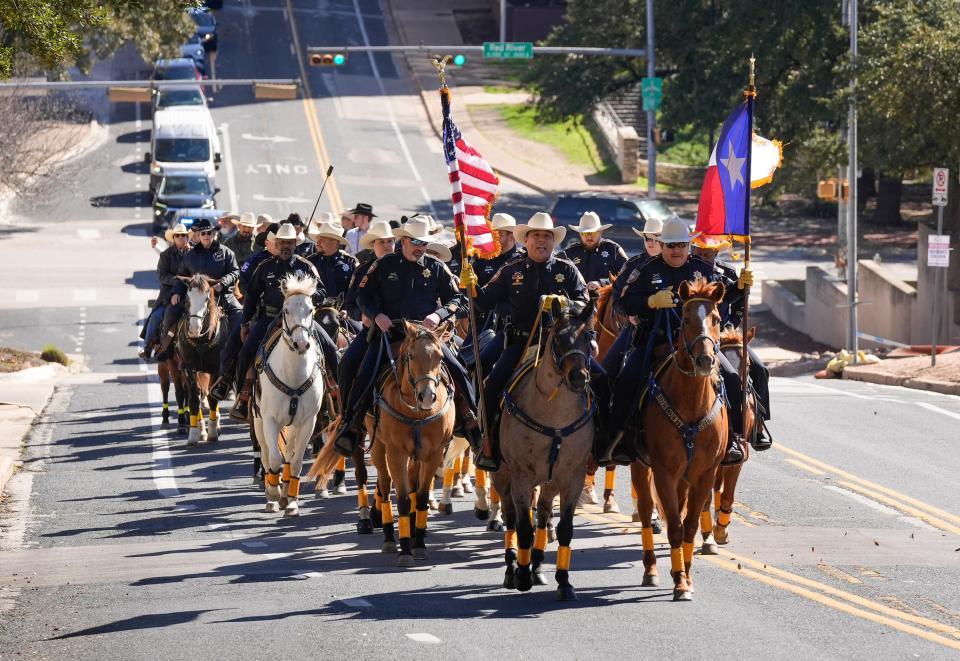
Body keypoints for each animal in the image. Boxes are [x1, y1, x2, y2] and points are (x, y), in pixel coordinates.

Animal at [175, 276, 226, 446]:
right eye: (187, 298)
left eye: (206, 299)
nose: (193, 329)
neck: (201, 340)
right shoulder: (189, 369)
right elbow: (193, 399)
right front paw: (194, 434)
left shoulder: (216, 369)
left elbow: (212, 398)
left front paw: (212, 432)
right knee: (199, 393)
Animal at [251, 272, 326, 516]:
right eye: (286, 310)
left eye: (310, 310)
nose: (301, 344)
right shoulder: (269, 420)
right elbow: (274, 458)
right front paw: (273, 493)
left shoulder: (308, 422)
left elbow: (295, 461)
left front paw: (291, 500)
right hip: (258, 421)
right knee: (266, 454)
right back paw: (272, 495)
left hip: (293, 425)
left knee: (290, 453)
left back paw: (285, 494)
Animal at [492, 294, 596, 600]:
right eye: (558, 339)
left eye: (589, 336)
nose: (578, 377)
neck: (554, 416)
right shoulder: (521, 476)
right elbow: (523, 528)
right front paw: (522, 575)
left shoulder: (572, 477)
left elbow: (564, 529)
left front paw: (564, 581)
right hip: (502, 475)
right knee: (511, 518)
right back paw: (513, 568)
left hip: (550, 482)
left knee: (544, 514)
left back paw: (538, 567)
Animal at [632, 276, 728, 600]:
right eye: (684, 319)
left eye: (716, 319)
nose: (704, 360)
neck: (691, 403)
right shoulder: (664, 471)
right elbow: (674, 525)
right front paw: (680, 583)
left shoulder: (704, 473)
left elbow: (689, 525)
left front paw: (686, 575)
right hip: (641, 465)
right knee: (645, 511)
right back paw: (650, 570)